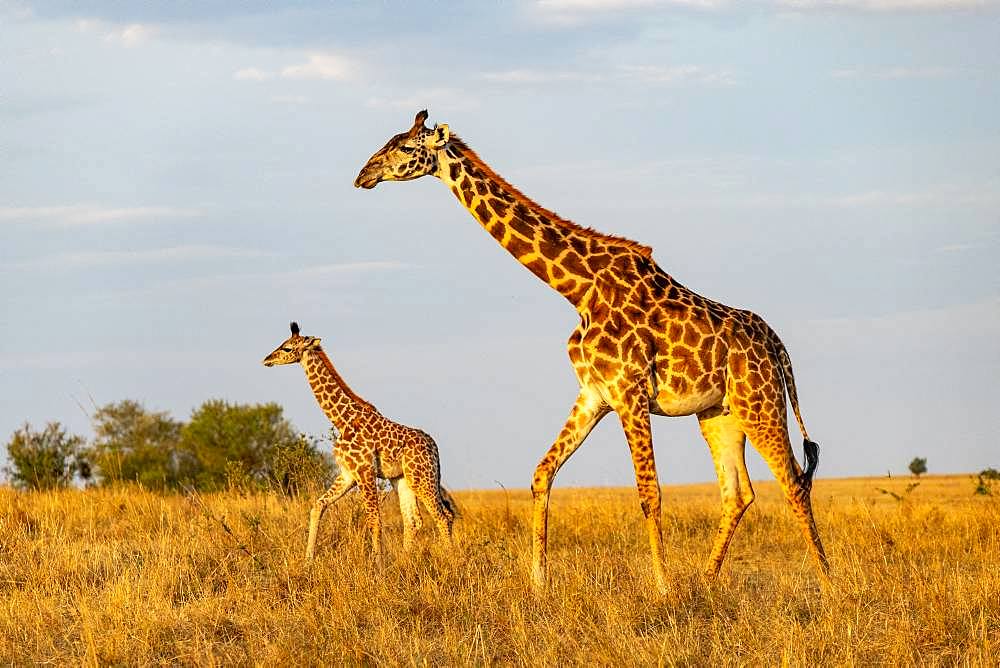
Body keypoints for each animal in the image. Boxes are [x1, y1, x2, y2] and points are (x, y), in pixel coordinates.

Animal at [264, 322, 456, 560]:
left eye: (287, 348)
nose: (267, 359)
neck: (342, 420)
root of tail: (434, 448)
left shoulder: (364, 471)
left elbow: (374, 521)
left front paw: (378, 564)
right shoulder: (348, 473)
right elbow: (317, 506)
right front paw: (308, 559)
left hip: (422, 478)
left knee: (443, 516)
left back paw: (452, 559)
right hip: (403, 479)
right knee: (413, 520)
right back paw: (405, 560)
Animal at [356, 111, 832, 596]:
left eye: (404, 147)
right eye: (389, 141)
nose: (363, 175)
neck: (578, 290)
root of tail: (776, 344)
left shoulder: (629, 392)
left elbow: (649, 492)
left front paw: (663, 588)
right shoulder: (594, 393)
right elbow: (541, 474)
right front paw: (538, 581)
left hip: (761, 402)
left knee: (794, 481)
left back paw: (828, 584)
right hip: (719, 412)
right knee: (738, 493)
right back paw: (707, 579)